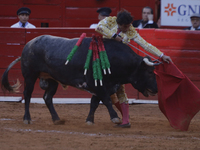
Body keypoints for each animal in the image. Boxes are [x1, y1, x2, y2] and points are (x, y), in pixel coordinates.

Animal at [1, 34, 158, 125]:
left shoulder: (102, 86)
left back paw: (56, 119)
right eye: (150, 72)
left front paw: (89, 120)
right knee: (27, 95)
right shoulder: (98, 85)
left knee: (47, 97)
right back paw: (27, 119)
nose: (156, 90)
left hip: (52, 80)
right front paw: (115, 118)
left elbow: (95, 103)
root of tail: (28, 45)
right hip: (30, 76)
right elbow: (106, 100)